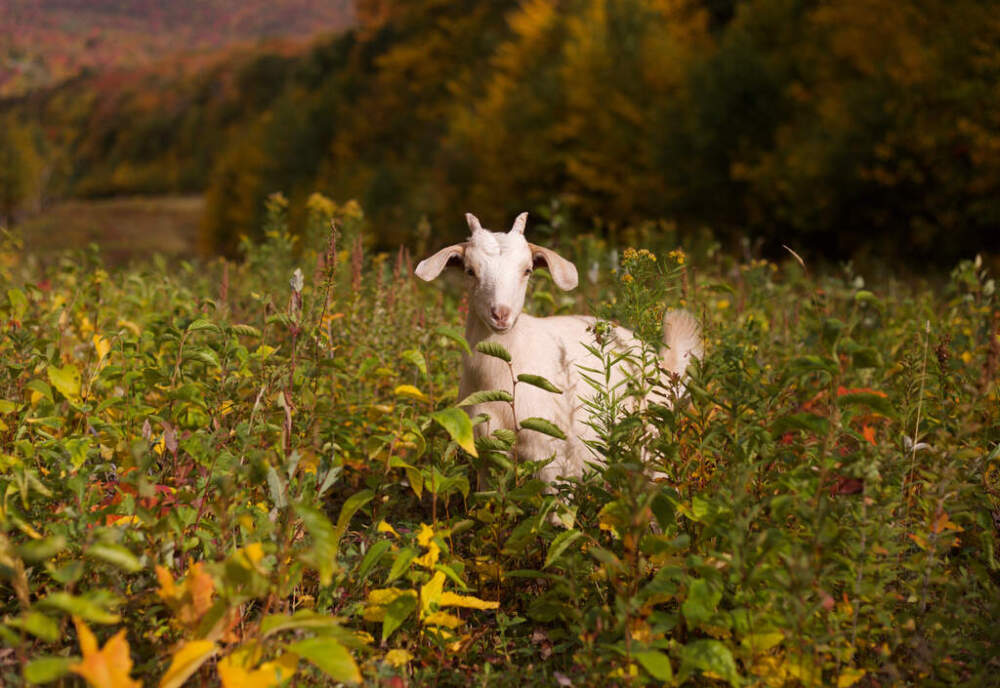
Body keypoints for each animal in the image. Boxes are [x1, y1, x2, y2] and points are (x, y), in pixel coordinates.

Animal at [415, 212, 702, 484]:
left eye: (528, 270)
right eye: (469, 270)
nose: (501, 314)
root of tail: (661, 362)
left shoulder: (554, 459)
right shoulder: (487, 455)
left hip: (650, 441)